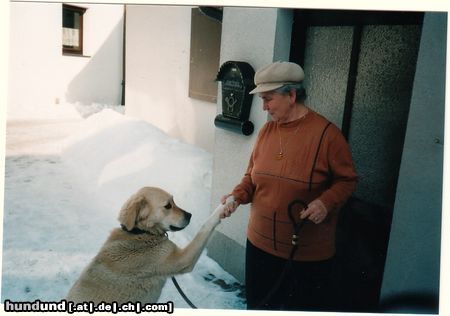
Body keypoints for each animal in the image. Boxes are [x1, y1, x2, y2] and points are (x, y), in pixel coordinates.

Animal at [65, 186, 225, 304]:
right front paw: (224, 206)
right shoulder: (182, 260)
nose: (189, 215)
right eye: (168, 206)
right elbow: (205, 227)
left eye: (174, 201)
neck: (139, 232)